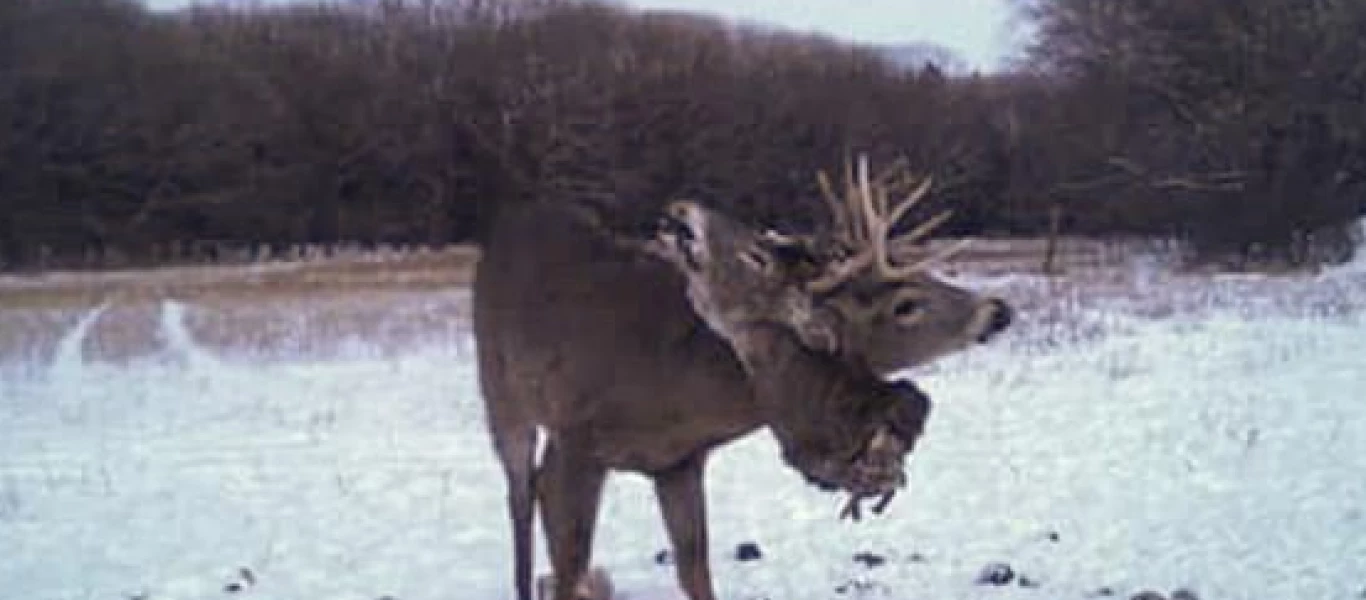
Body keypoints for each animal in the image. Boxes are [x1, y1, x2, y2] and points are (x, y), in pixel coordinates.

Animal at [472, 156, 1016, 600]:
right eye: (906, 305)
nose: (999, 310)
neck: (674, 396)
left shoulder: (680, 463)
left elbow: (695, 571)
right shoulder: (577, 435)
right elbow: (568, 564)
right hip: (500, 394)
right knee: (519, 498)